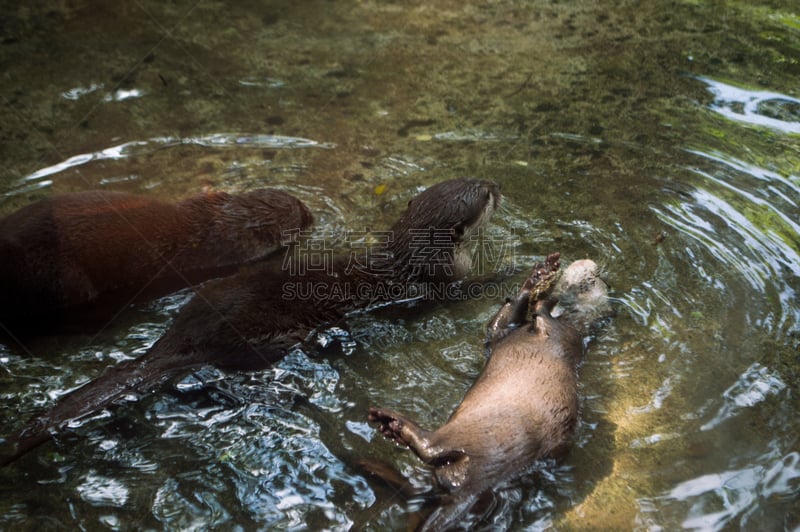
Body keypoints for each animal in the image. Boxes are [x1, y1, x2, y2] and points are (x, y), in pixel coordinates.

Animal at [368, 255, 612, 532]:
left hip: (483, 437)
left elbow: (543, 317)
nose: (591, 265)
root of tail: (479, 485)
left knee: (432, 446)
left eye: (594, 280)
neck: (573, 321)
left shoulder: (565, 334)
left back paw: (392, 424)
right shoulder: (505, 333)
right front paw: (538, 276)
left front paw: (544, 300)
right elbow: (499, 323)